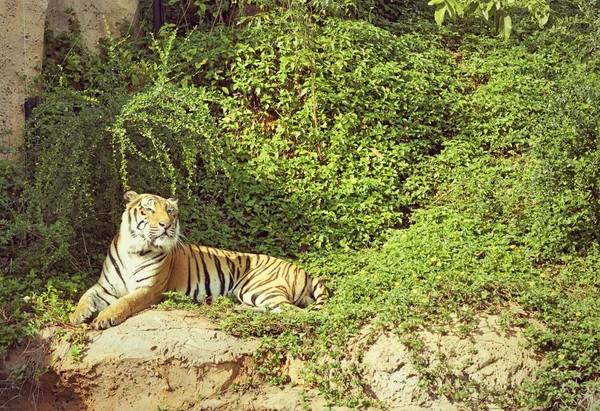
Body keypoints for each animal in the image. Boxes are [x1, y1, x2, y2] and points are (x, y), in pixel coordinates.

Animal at [69, 192, 328, 330]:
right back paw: (241, 310)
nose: (166, 225)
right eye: (149, 209)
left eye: (170, 211)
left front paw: (105, 317)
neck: (135, 249)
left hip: (258, 287)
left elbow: (125, 303)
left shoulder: (149, 289)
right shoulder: (105, 286)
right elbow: (85, 297)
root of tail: (304, 270)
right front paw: (78, 315)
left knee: (294, 312)